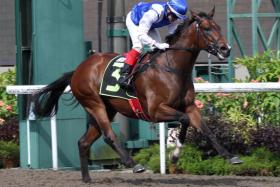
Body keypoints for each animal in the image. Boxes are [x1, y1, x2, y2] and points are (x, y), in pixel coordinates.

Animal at [33, 8, 243, 183]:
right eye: (206, 29)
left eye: (219, 27)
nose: (226, 49)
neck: (172, 68)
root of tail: (78, 69)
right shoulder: (155, 111)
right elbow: (183, 120)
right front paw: (175, 155)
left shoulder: (190, 106)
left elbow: (206, 130)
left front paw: (231, 156)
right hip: (95, 104)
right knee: (109, 135)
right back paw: (134, 165)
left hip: (105, 109)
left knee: (84, 142)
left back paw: (87, 179)